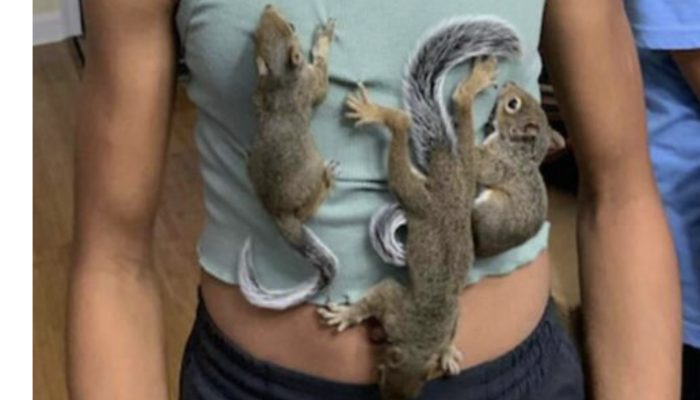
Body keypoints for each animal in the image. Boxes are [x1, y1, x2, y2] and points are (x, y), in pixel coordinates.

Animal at [238, 5, 339, 310]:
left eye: (257, 35)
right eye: (293, 27)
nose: (268, 7)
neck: (281, 78)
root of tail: (278, 211)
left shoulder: (261, 93)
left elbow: (255, 101)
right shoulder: (311, 84)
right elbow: (322, 81)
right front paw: (324, 36)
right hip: (311, 180)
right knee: (308, 210)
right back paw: (329, 177)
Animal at [318, 18, 521, 400]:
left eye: (415, 390)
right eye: (383, 376)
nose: (385, 394)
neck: (421, 333)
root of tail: (447, 183)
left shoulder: (443, 315)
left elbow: (452, 328)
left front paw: (448, 352)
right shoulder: (394, 304)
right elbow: (378, 294)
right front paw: (348, 316)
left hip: (457, 179)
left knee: (439, 115)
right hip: (421, 193)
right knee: (406, 124)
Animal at [370, 81, 565, 264]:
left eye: (512, 104)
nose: (508, 83)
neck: (522, 147)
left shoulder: (502, 162)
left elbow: (482, 165)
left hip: (488, 209)